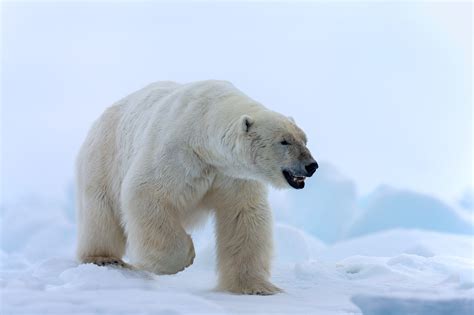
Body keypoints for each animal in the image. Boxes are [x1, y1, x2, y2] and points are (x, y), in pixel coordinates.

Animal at [76, 80, 316, 296]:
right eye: (284, 141)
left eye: (305, 139)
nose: (311, 165)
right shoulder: (177, 153)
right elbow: (146, 192)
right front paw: (184, 257)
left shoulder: (231, 175)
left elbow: (243, 215)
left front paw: (257, 287)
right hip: (105, 158)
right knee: (101, 212)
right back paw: (105, 258)